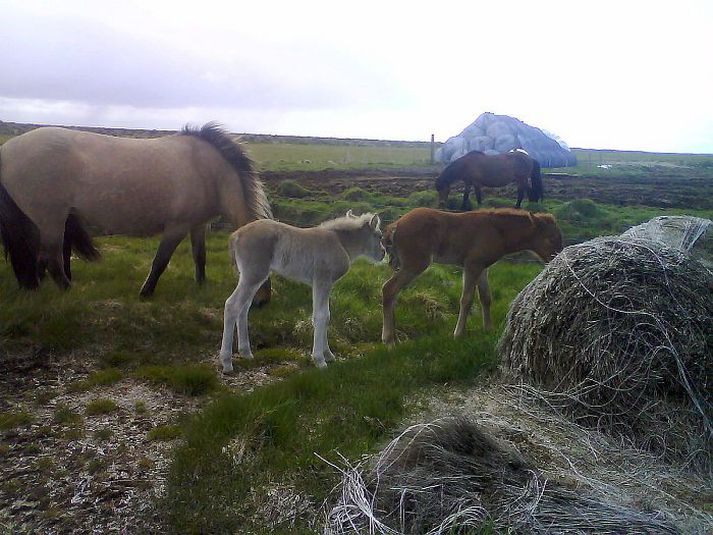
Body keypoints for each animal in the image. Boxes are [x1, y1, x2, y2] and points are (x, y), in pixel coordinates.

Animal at [0, 122, 272, 302]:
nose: (263, 301)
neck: (208, 170)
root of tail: (8, 150)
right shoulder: (177, 227)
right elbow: (160, 261)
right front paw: (146, 293)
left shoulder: (197, 225)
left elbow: (199, 256)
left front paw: (201, 285)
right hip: (51, 221)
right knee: (52, 259)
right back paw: (69, 291)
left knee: (41, 257)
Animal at [220, 210, 384, 372]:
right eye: (380, 236)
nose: (383, 254)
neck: (340, 242)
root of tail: (236, 235)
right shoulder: (322, 281)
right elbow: (321, 316)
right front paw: (320, 360)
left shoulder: (322, 284)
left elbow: (325, 316)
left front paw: (328, 355)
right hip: (253, 275)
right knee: (232, 305)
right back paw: (227, 362)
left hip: (250, 277)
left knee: (243, 308)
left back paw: (246, 352)